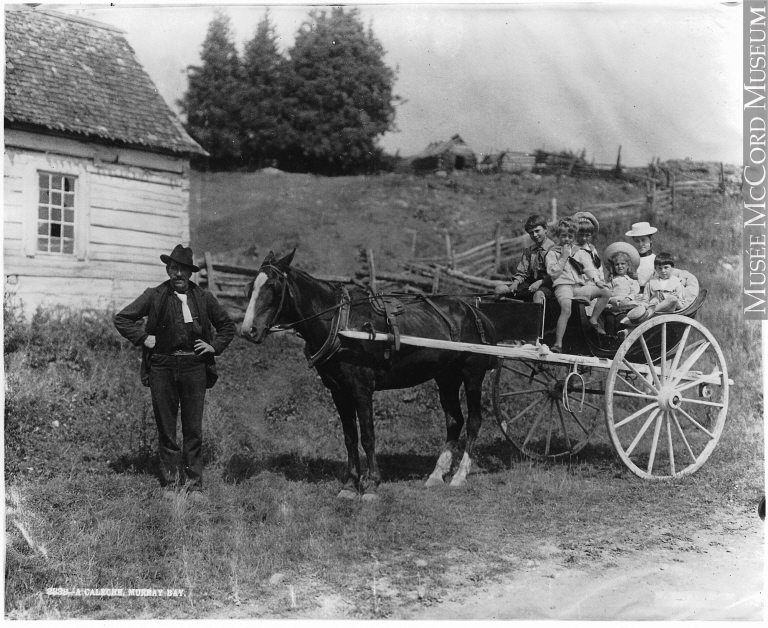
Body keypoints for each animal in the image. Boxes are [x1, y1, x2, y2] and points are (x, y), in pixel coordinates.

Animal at [243, 250, 500, 500]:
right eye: (250, 287)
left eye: (274, 287)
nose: (248, 330)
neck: (340, 324)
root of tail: (475, 312)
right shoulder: (339, 391)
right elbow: (350, 438)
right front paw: (349, 485)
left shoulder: (362, 389)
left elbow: (368, 436)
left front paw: (372, 485)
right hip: (447, 378)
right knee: (454, 420)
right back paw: (437, 474)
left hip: (472, 375)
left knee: (474, 420)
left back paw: (459, 475)